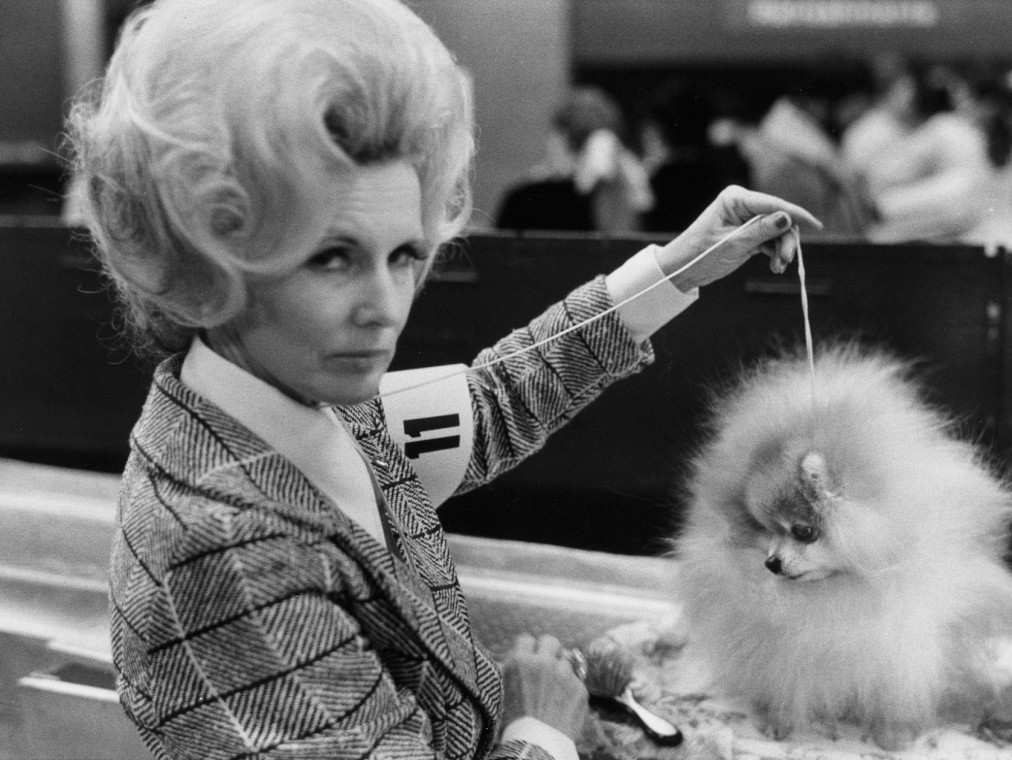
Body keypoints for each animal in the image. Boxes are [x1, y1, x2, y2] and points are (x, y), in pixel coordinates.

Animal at [671, 344, 1011, 748]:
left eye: (803, 531)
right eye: (765, 529)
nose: (771, 563)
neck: (842, 588)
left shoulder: (902, 648)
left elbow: (894, 694)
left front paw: (892, 735)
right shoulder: (783, 651)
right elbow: (786, 683)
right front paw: (779, 721)